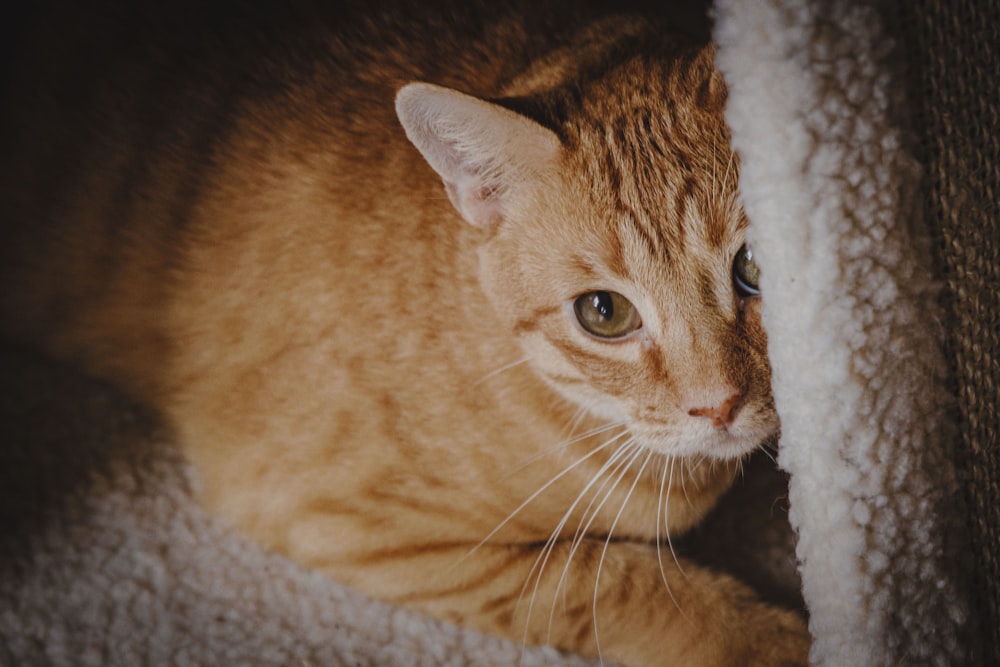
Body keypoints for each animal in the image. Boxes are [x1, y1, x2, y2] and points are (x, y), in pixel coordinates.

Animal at [0, 2, 812, 664]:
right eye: (604, 314)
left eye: (756, 267)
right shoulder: (328, 511)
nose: (718, 405)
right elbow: (612, 578)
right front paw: (766, 639)